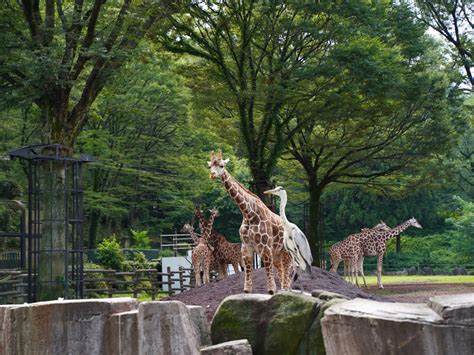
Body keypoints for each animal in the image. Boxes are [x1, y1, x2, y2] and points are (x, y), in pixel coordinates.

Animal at [207, 150, 292, 294]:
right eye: (209, 166)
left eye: (222, 165)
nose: (212, 175)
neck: (248, 213)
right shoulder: (246, 247)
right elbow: (247, 287)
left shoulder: (265, 247)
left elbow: (270, 290)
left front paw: (272, 289)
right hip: (277, 254)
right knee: (282, 273)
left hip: (286, 252)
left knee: (287, 274)